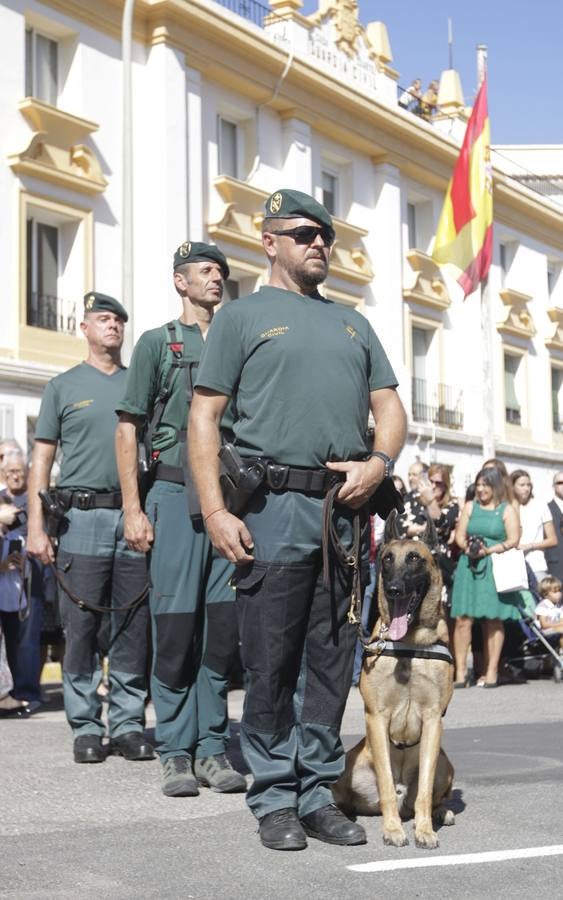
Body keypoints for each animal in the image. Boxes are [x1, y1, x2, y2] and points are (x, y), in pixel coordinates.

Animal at [332, 512, 456, 852]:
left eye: (414, 558)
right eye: (387, 559)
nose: (394, 588)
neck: (411, 644)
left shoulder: (433, 722)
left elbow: (424, 790)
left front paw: (424, 829)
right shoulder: (376, 717)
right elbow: (386, 784)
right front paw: (392, 829)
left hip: (446, 763)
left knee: (431, 796)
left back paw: (442, 813)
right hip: (348, 767)